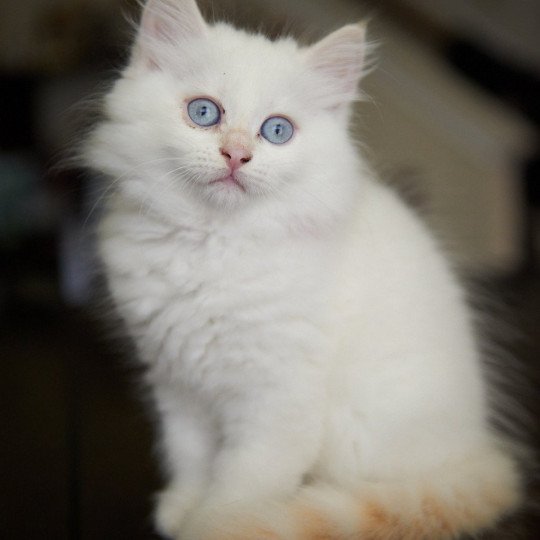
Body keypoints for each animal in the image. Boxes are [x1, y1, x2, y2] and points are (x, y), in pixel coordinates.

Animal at [84, 1, 524, 540]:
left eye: (277, 130)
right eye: (204, 112)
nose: (236, 154)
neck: (213, 244)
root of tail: (477, 456)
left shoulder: (279, 404)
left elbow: (242, 486)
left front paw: (217, 525)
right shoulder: (178, 385)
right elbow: (191, 459)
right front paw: (181, 509)